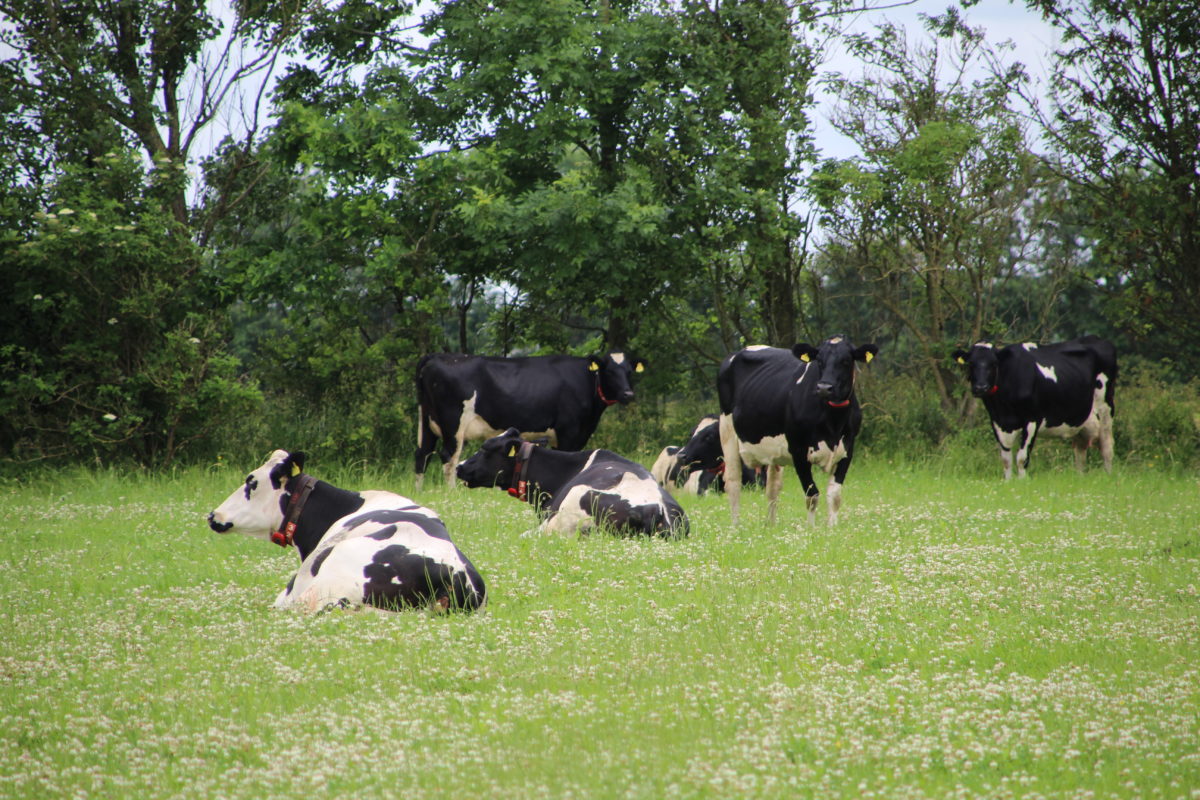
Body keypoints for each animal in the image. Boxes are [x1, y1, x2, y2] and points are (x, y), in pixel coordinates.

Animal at [422, 352, 648, 491]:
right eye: (609, 371)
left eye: (629, 371)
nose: (628, 394)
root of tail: (437, 356)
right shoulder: (569, 432)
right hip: (453, 425)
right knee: (449, 458)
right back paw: (452, 492)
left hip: (427, 422)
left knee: (422, 455)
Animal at [715, 335, 878, 525]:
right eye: (819, 360)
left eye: (846, 361)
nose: (824, 388)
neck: (833, 422)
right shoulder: (798, 451)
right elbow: (812, 495)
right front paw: (811, 528)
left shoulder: (847, 449)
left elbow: (834, 496)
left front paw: (832, 528)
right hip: (727, 431)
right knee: (733, 482)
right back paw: (736, 525)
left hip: (773, 451)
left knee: (772, 487)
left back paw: (771, 525)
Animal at [950, 335, 1118, 479]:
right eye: (971, 364)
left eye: (994, 364)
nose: (981, 387)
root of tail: (1097, 339)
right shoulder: (997, 421)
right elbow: (1006, 459)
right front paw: (1007, 482)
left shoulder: (1031, 420)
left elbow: (1021, 457)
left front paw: (1022, 482)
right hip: (1081, 419)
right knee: (1080, 451)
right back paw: (1080, 477)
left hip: (1105, 407)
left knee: (1107, 446)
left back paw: (1109, 477)